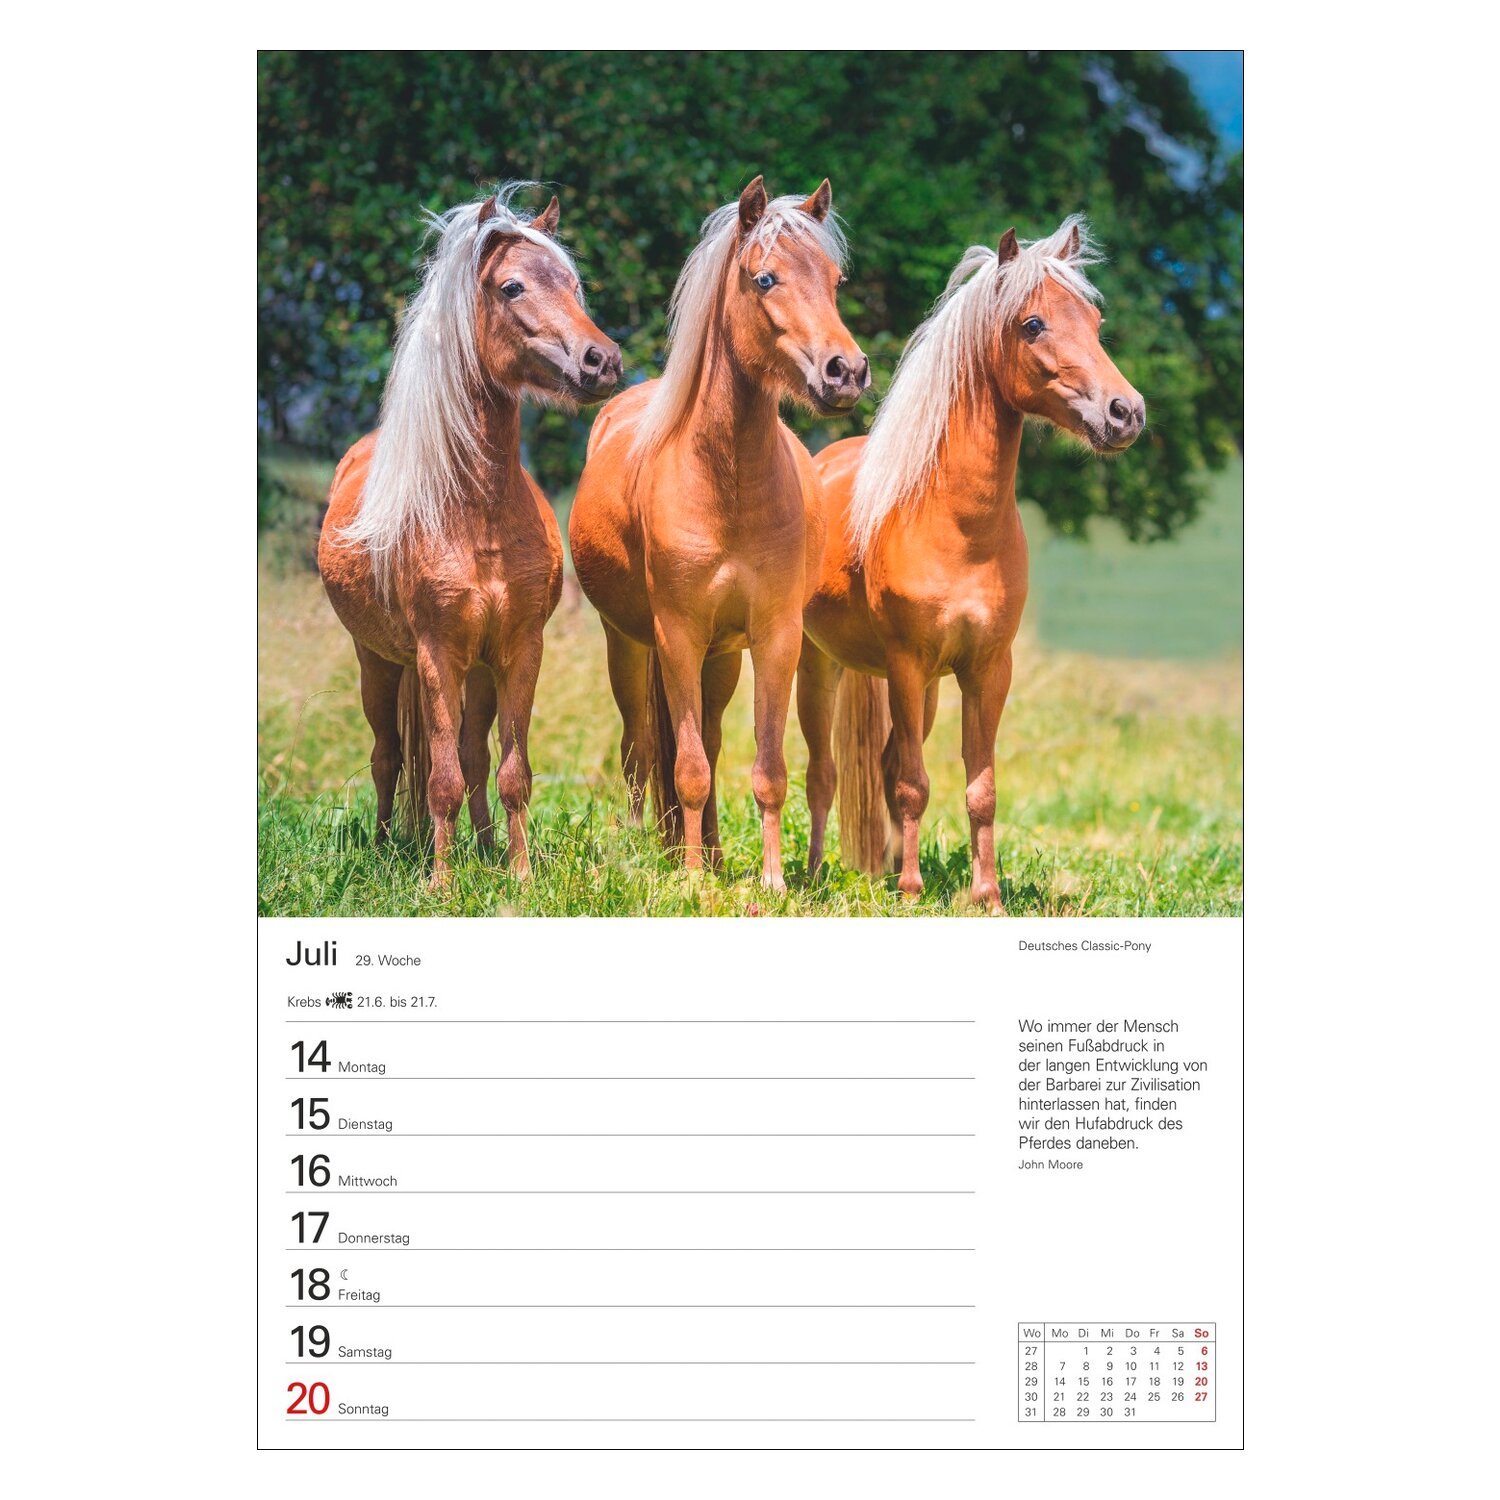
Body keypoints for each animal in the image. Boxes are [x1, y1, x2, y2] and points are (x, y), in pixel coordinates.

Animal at [319, 184, 621, 889]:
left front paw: (520, 877)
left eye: (572, 284)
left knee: (472, 756)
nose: (602, 362)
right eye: (511, 287)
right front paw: (440, 882)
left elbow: (509, 773)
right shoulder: (437, 655)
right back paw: (385, 847)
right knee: (388, 757)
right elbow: (441, 779)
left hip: (480, 671)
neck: (476, 515)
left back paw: (484, 852)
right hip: (378, 662)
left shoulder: (519, 651)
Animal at [569, 176, 869, 890]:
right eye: (765, 278)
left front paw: (771, 879)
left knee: (704, 735)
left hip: (722, 657)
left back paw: (708, 852)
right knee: (642, 748)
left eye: (835, 280)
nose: (845, 372)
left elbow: (765, 769)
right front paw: (689, 879)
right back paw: (657, 849)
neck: (727, 484)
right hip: (630, 646)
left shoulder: (775, 637)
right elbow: (686, 767)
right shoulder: (676, 634)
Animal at [797, 216, 1146, 912]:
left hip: (923, 688)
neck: (957, 528)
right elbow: (912, 784)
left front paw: (986, 895)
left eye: (1095, 320)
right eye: (1033, 323)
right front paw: (911, 891)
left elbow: (978, 788)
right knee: (823, 774)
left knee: (881, 765)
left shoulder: (986, 669)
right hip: (816, 666)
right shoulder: (906, 666)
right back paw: (827, 875)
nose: (1126, 413)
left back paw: (881, 870)